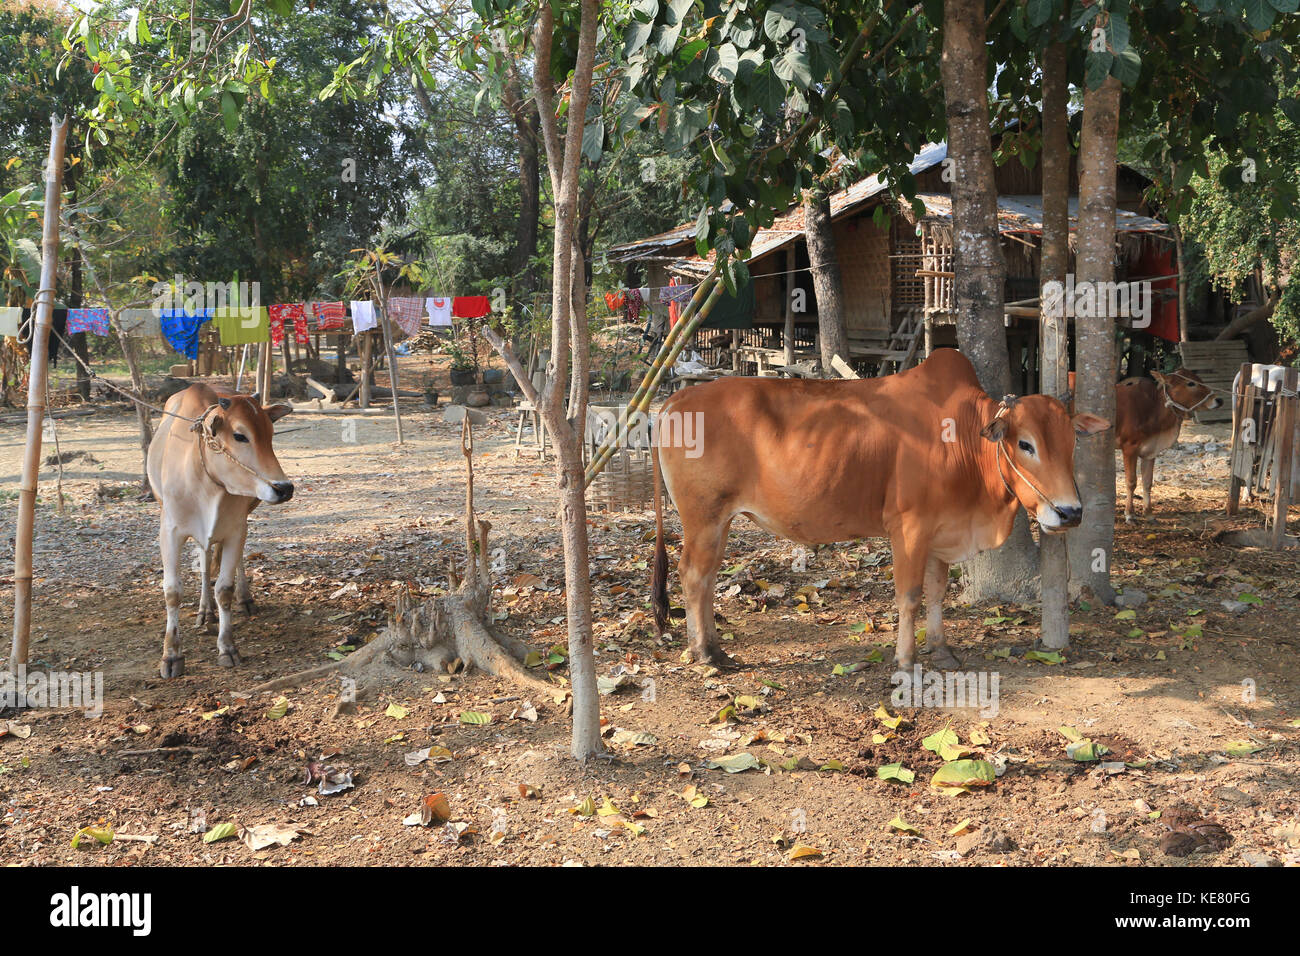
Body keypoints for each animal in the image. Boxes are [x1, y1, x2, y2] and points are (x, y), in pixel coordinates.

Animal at [146, 382, 293, 681]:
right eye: (239, 435)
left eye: (271, 435)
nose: (284, 488)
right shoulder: (170, 532)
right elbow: (172, 591)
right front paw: (171, 655)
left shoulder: (236, 529)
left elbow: (224, 588)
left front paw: (227, 647)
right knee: (204, 559)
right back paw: (205, 611)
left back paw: (243, 599)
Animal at [650, 348, 1107, 671]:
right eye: (1025, 444)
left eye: (1072, 443)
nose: (1070, 513)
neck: (961, 439)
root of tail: (675, 400)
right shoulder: (909, 528)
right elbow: (909, 596)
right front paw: (906, 660)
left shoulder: (941, 532)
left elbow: (937, 592)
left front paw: (940, 649)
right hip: (703, 518)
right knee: (693, 575)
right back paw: (704, 652)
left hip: (719, 521)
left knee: (708, 577)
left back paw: (714, 648)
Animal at [1118, 369, 1216, 528]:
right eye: (1190, 383)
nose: (1218, 400)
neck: (1153, 408)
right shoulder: (1129, 448)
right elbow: (1131, 482)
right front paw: (1129, 515)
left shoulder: (1150, 451)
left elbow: (1147, 482)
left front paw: (1149, 514)